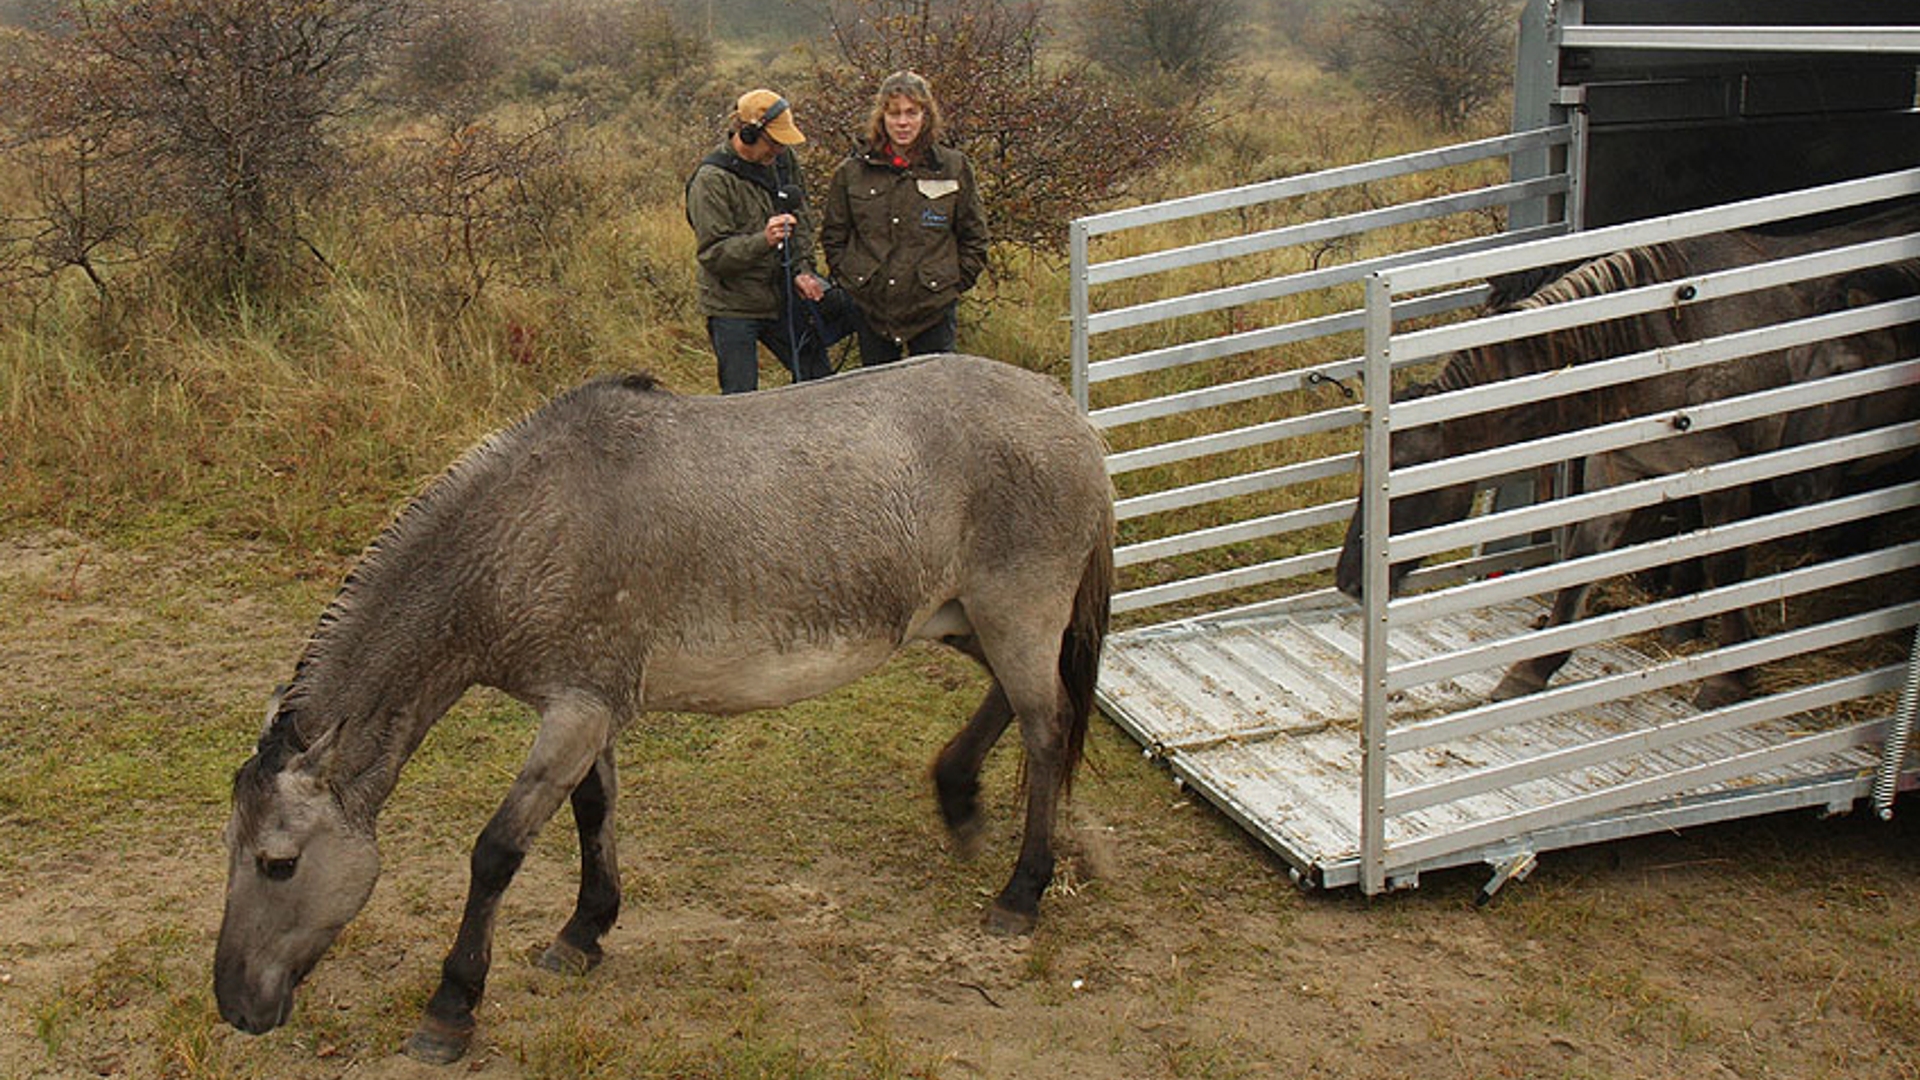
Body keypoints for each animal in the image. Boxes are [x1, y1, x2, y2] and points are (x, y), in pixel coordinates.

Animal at [212, 355, 1121, 1060]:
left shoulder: (575, 713)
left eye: (278, 862)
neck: (528, 527)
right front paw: (585, 932)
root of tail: (1063, 411)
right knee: (1018, 700)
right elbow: (592, 812)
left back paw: (1021, 893)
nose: (233, 1004)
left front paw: (452, 1009)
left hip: (1015, 610)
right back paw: (957, 796)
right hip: (965, 619)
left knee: (1047, 730)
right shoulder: (590, 710)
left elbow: (498, 851)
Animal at [1067, 0, 1920, 891]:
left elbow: (1729, 572)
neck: (1663, 338)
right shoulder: (1620, 471)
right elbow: (1580, 572)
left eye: (1409, 485)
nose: (1349, 583)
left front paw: (1731, 677)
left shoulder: (1730, 474)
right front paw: (1534, 668)